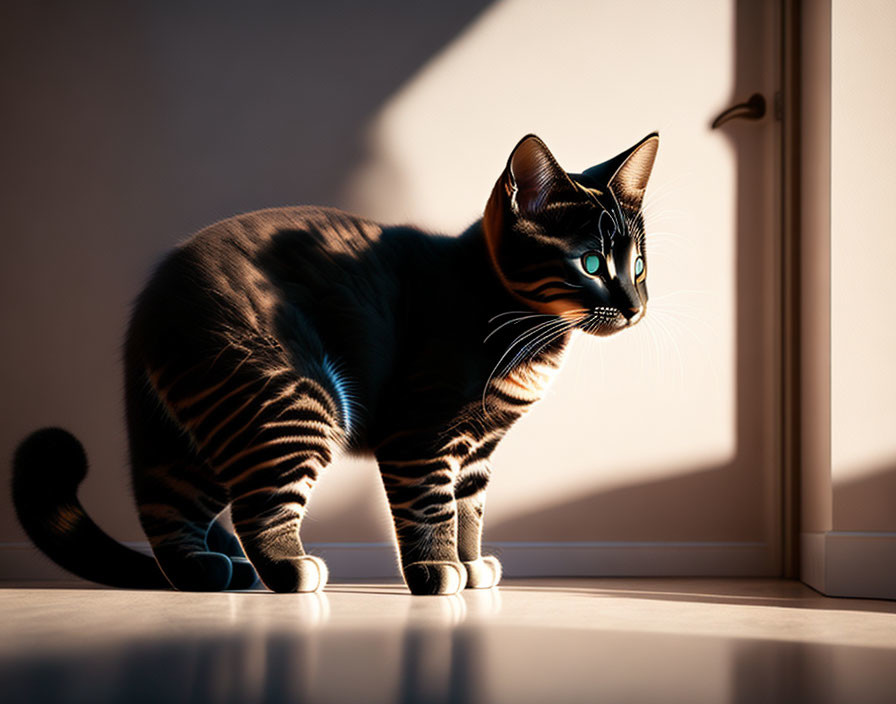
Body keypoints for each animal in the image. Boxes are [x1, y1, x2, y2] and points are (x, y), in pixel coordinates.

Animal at [12, 132, 656, 592]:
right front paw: (436, 572)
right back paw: (289, 571)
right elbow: (432, 507)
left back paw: (203, 573)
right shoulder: (421, 433)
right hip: (290, 399)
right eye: (591, 263)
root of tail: (152, 298)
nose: (634, 305)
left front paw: (470, 564)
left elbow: (469, 511)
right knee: (253, 510)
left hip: (194, 434)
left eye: (639, 265)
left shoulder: (478, 450)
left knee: (164, 505)